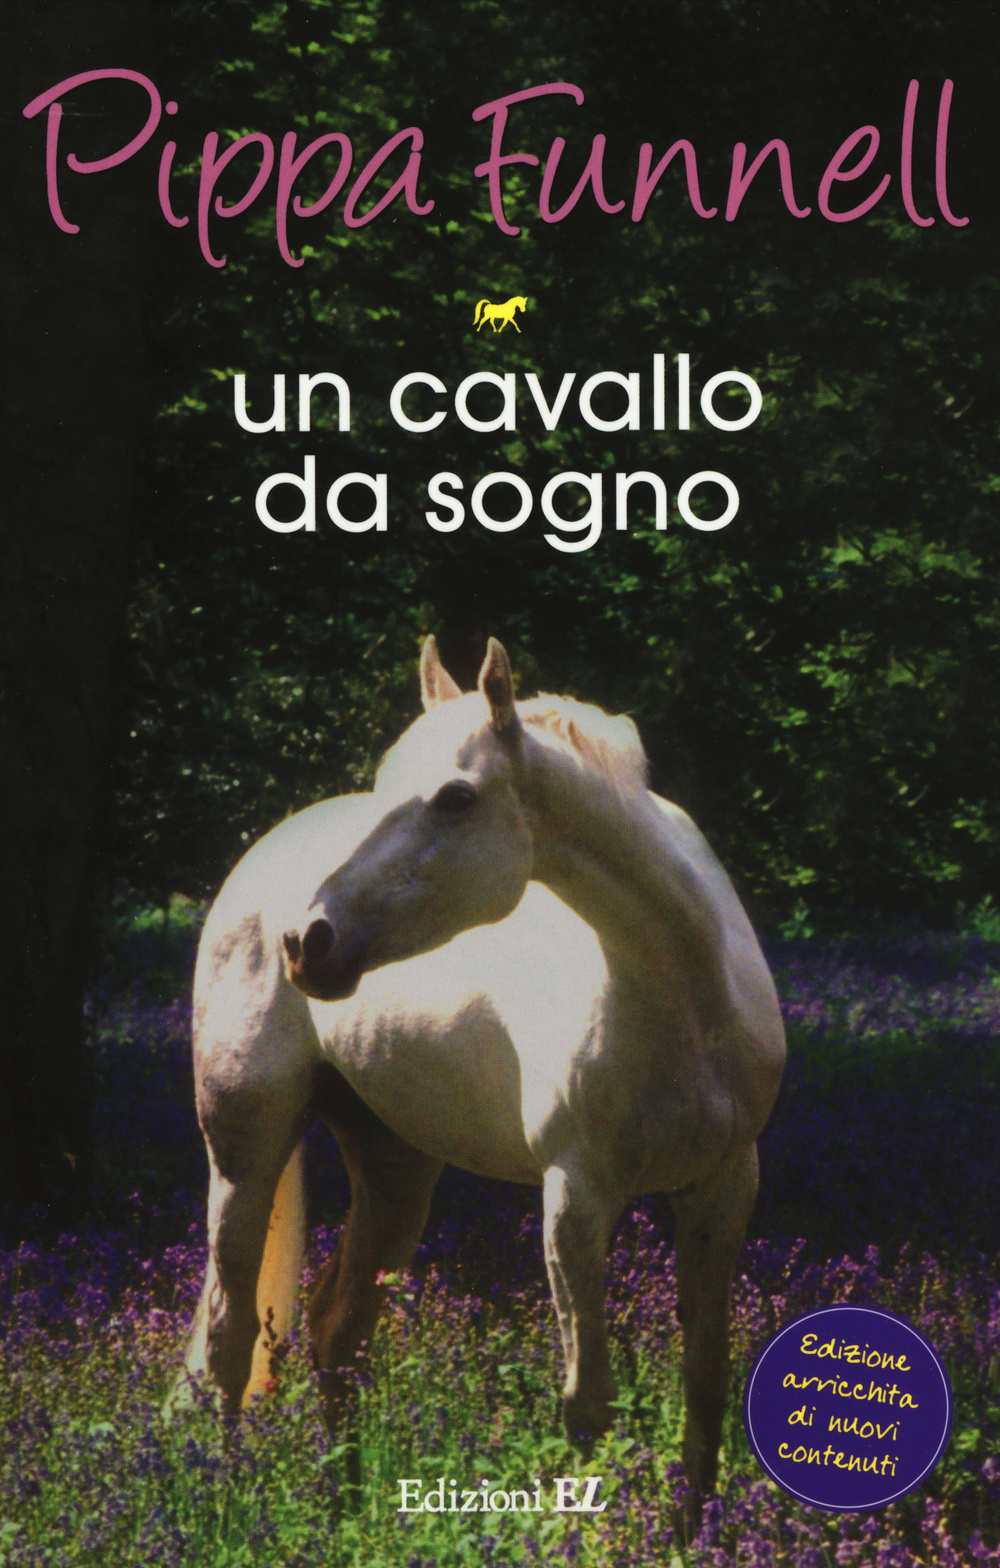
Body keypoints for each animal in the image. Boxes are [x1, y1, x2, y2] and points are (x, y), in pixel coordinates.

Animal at [180, 636, 785, 1498]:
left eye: (456, 798)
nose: (308, 942)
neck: (684, 1001)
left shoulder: (723, 1188)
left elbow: (704, 1393)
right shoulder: (575, 1199)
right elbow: (588, 1405)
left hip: (396, 1169)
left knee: (336, 1331)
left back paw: (345, 1508)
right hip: (246, 1152)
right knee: (231, 1349)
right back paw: (232, 1508)